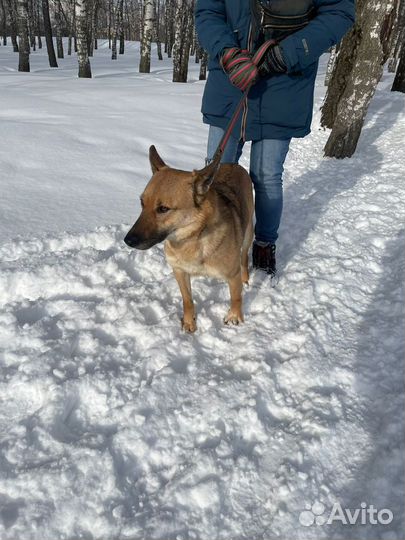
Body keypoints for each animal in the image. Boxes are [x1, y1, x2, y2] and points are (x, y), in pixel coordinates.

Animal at [123, 148, 252, 334]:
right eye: (142, 203)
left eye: (163, 209)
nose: (128, 240)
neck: (193, 238)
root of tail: (233, 164)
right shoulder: (179, 271)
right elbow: (187, 300)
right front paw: (189, 322)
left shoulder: (232, 275)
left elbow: (236, 297)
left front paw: (235, 316)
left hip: (249, 233)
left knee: (244, 257)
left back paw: (246, 278)